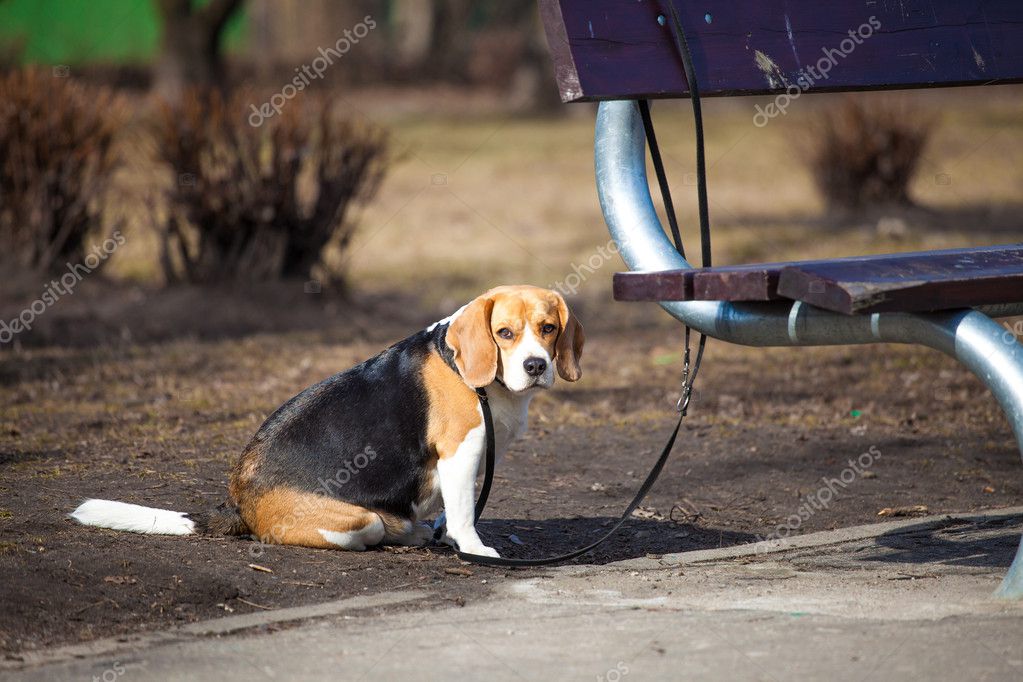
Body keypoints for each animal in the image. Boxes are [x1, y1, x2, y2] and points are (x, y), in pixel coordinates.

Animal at [72, 286, 585, 556]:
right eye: (504, 333)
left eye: (548, 328)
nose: (536, 366)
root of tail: (240, 504)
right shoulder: (461, 454)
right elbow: (462, 514)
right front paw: (475, 550)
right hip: (359, 519)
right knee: (370, 530)